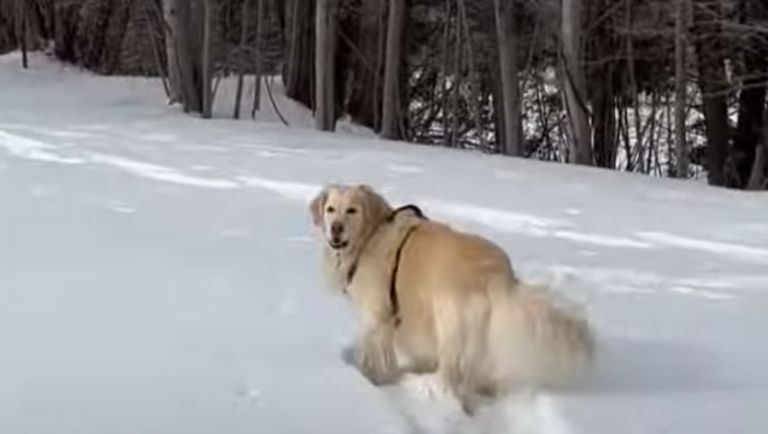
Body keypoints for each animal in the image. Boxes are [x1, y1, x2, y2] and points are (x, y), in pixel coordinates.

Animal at [308, 183, 596, 414]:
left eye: (352, 210)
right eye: (330, 209)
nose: (335, 229)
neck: (370, 236)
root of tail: (498, 274)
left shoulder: (377, 316)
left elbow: (374, 353)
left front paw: (372, 380)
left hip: (451, 327)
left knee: (451, 376)